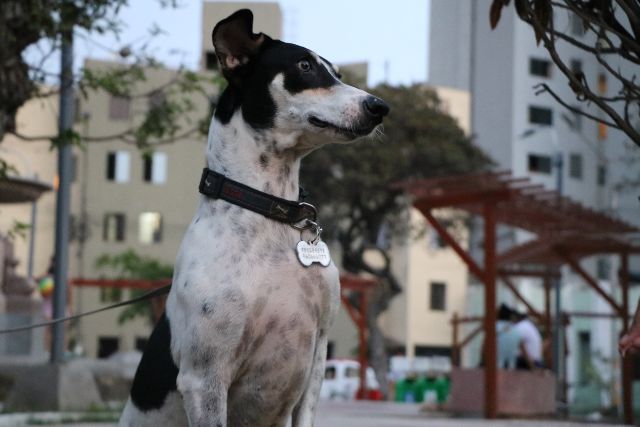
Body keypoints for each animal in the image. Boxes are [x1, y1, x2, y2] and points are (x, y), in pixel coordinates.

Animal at [120, 10, 390, 427]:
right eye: (304, 66)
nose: (379, 106)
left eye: (338, 73)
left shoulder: (316, 361)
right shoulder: (205, 377)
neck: (268, 210)